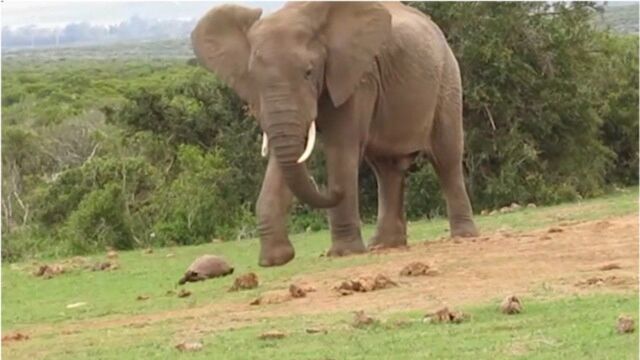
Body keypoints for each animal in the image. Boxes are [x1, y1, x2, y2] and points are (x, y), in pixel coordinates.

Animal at [192, 0, 478, 266]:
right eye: (253, 78)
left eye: (308, 72)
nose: (323, 184)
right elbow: (281, 159)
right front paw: (275, 260)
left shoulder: (358, 76)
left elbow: (341, 148)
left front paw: (344, 253)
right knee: (386, 168)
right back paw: (384, 245)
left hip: (447, 80)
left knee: (446, 158)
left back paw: (464, 237)